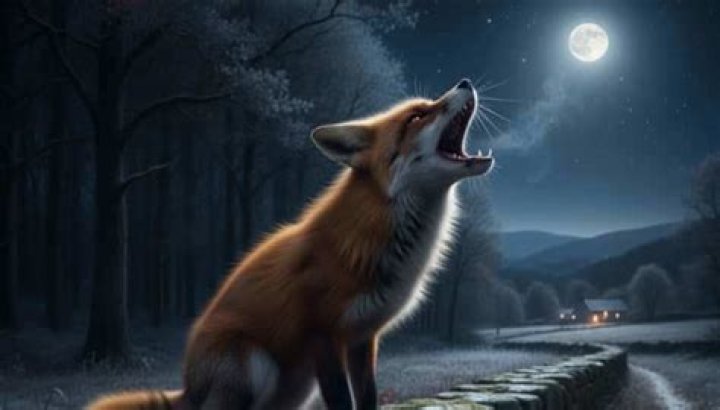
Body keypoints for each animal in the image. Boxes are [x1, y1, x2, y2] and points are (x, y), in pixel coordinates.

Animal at [88, 78, 494, 410]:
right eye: (417, 116)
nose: (465, 81)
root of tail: (188, 386)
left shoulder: (364, 338)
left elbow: (368, 398)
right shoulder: (323, 334)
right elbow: (341, 401)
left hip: (296, 389)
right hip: (257, 366)